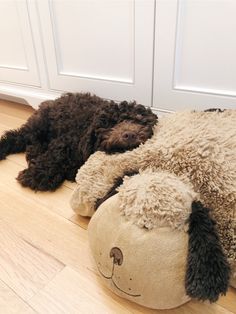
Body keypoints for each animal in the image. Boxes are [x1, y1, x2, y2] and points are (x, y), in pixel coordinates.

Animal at [0, 92, 159, 191]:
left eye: (139, 120)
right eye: (111, 123)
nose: (129, 134)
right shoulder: (66, 141)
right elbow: (56, 155)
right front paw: (37, 175)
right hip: (39, 125)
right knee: (18, 137)